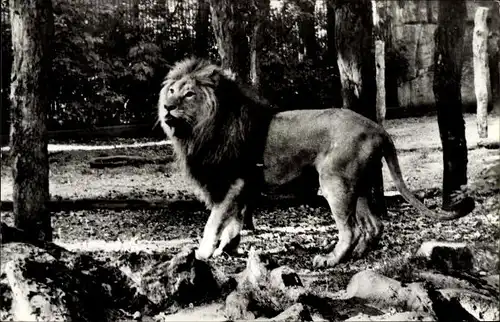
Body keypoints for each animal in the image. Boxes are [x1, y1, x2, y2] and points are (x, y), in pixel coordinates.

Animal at [158, 57, 456, 266]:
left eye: (188, 94)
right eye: (171, 90)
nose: (167, 107)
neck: (198, 131)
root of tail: (377, 128)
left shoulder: (232, 182)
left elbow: (215, 221)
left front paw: (204, 252)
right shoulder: (242, 187)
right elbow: (234, 222)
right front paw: (227, 249)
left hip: (335, 182)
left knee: (350, 229)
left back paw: (330, 259)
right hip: (358, 184)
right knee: (374, 225)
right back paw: (357, 254)